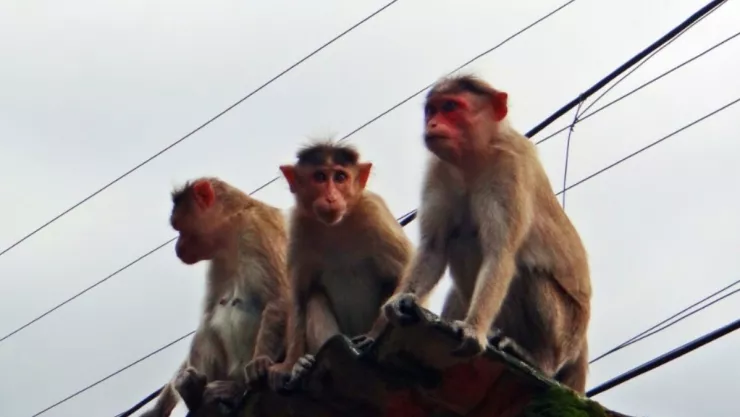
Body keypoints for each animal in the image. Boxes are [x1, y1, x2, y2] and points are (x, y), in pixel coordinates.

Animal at [140, 177, 289, 416]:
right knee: (208, 324)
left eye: (179, 227)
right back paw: (197, 397)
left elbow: (280, 297)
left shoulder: (256, 230)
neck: (231, 227)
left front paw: (260, 362)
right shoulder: (217, 259)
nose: (177, 247)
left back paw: (231, 392)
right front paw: (158, 408)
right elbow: (210, 313)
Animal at [265, 141, 414, 391]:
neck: (335, 225)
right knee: (315, 297)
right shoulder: (298, 227)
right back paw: (305, 363)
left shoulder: (375, 211)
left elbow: (407, 269)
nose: (331, 197)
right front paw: (290, 365)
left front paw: (375, 334)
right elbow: (299, 296)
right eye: (320, 177)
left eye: (340, 177)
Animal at [371, 75, 592, 392]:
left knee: (523, 270)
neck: (474, 159)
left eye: (450, 107)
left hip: (567, 332)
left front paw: (473, 329)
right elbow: (435, 247)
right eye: (432, 110)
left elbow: (500, 253)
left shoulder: (511, 169)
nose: (432, 124)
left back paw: (539, 360)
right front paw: (400, 300)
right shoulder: (439, 169)